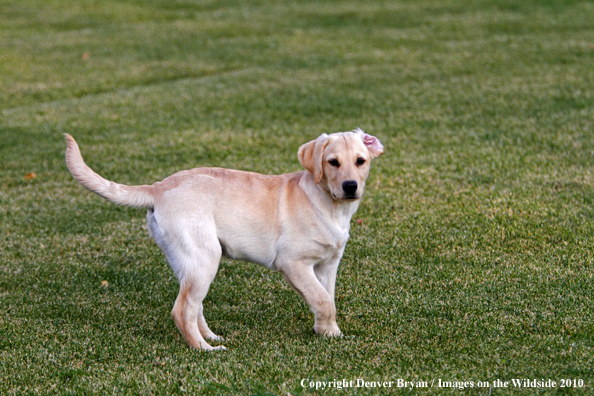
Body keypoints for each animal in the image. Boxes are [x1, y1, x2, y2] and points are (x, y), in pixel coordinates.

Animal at [62, 129, 382, 350]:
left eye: (360, 161)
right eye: (332, 162)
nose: (350, 186)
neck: (329, 205)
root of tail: (158, 187)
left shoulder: (328, 264)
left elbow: (327, 298)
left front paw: (330, 333)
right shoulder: (292, 263)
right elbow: (322, 299)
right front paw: (328, 332)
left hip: (190, 260)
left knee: (194, 306)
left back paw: (210, 337)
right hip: (205, 256)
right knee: (182, 310)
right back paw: (204, 349)